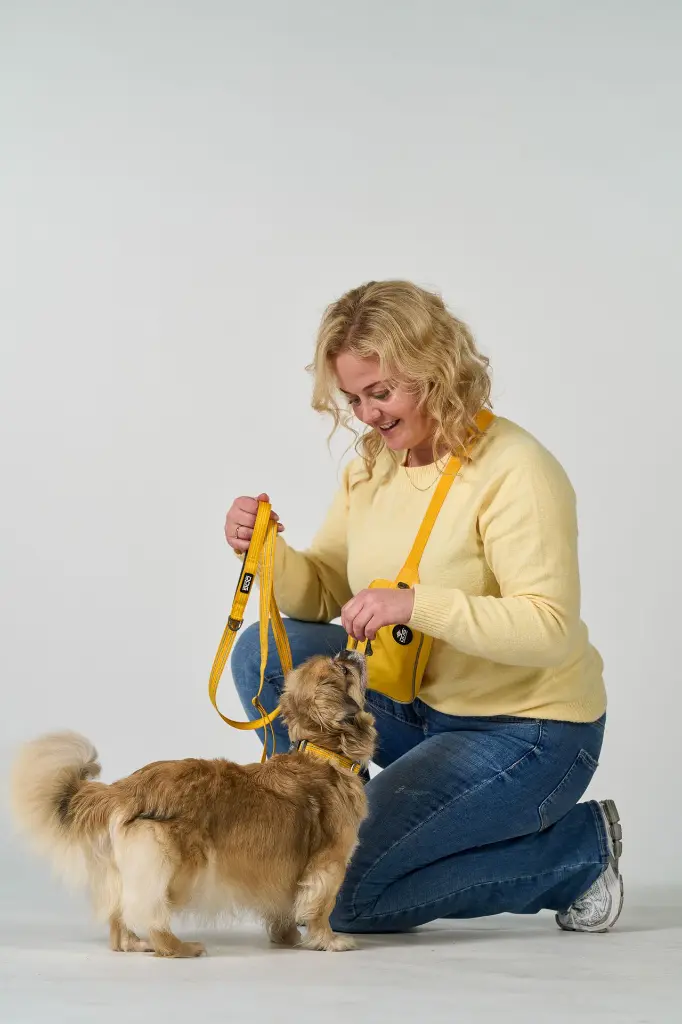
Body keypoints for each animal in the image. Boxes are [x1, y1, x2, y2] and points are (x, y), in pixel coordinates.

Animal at [10, 649, 376, 956]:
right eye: (344, 669)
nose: (349, 650)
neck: (323, 752)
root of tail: (127, 788)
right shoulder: (328, 865)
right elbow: (320, 907)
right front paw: (328, 940)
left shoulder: (284, 872)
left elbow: (283, 909)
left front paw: (286, 939)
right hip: (179, 870)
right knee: (150, 910)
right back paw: (178, 947)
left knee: (120, 920)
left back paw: (135, 943)